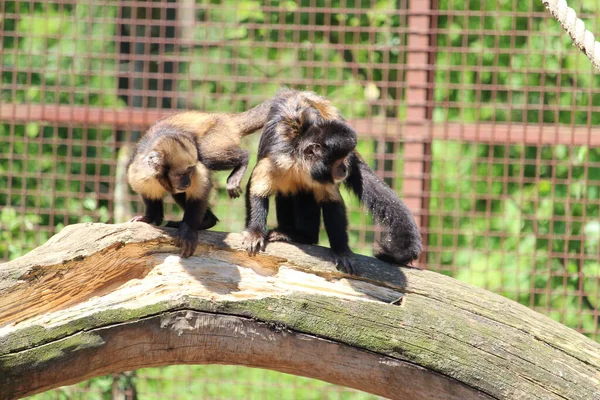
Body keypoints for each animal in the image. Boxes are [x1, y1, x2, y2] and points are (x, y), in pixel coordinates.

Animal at [130, 98, 276, 258]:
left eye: (190, 171)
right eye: (180, 174)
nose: (187, 182)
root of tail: (222, 117)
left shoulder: (196, 169)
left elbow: (199, 194)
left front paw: (188, 231)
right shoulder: (141, 173)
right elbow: (150, 196)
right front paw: (150, 219)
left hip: (217, 134)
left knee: (207, 155)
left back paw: (242, 161)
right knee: (179, 193)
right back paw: (206, 222)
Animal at [243, 88, 422, 274]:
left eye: (343, 159)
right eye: (337, 162)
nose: (344, 168)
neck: (299, 164)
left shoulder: (323, 175)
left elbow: (332, 202)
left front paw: (341, 250)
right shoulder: (277, 159)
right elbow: (257, 188)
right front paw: (255, 232)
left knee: (304, 194)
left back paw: (304, 236)